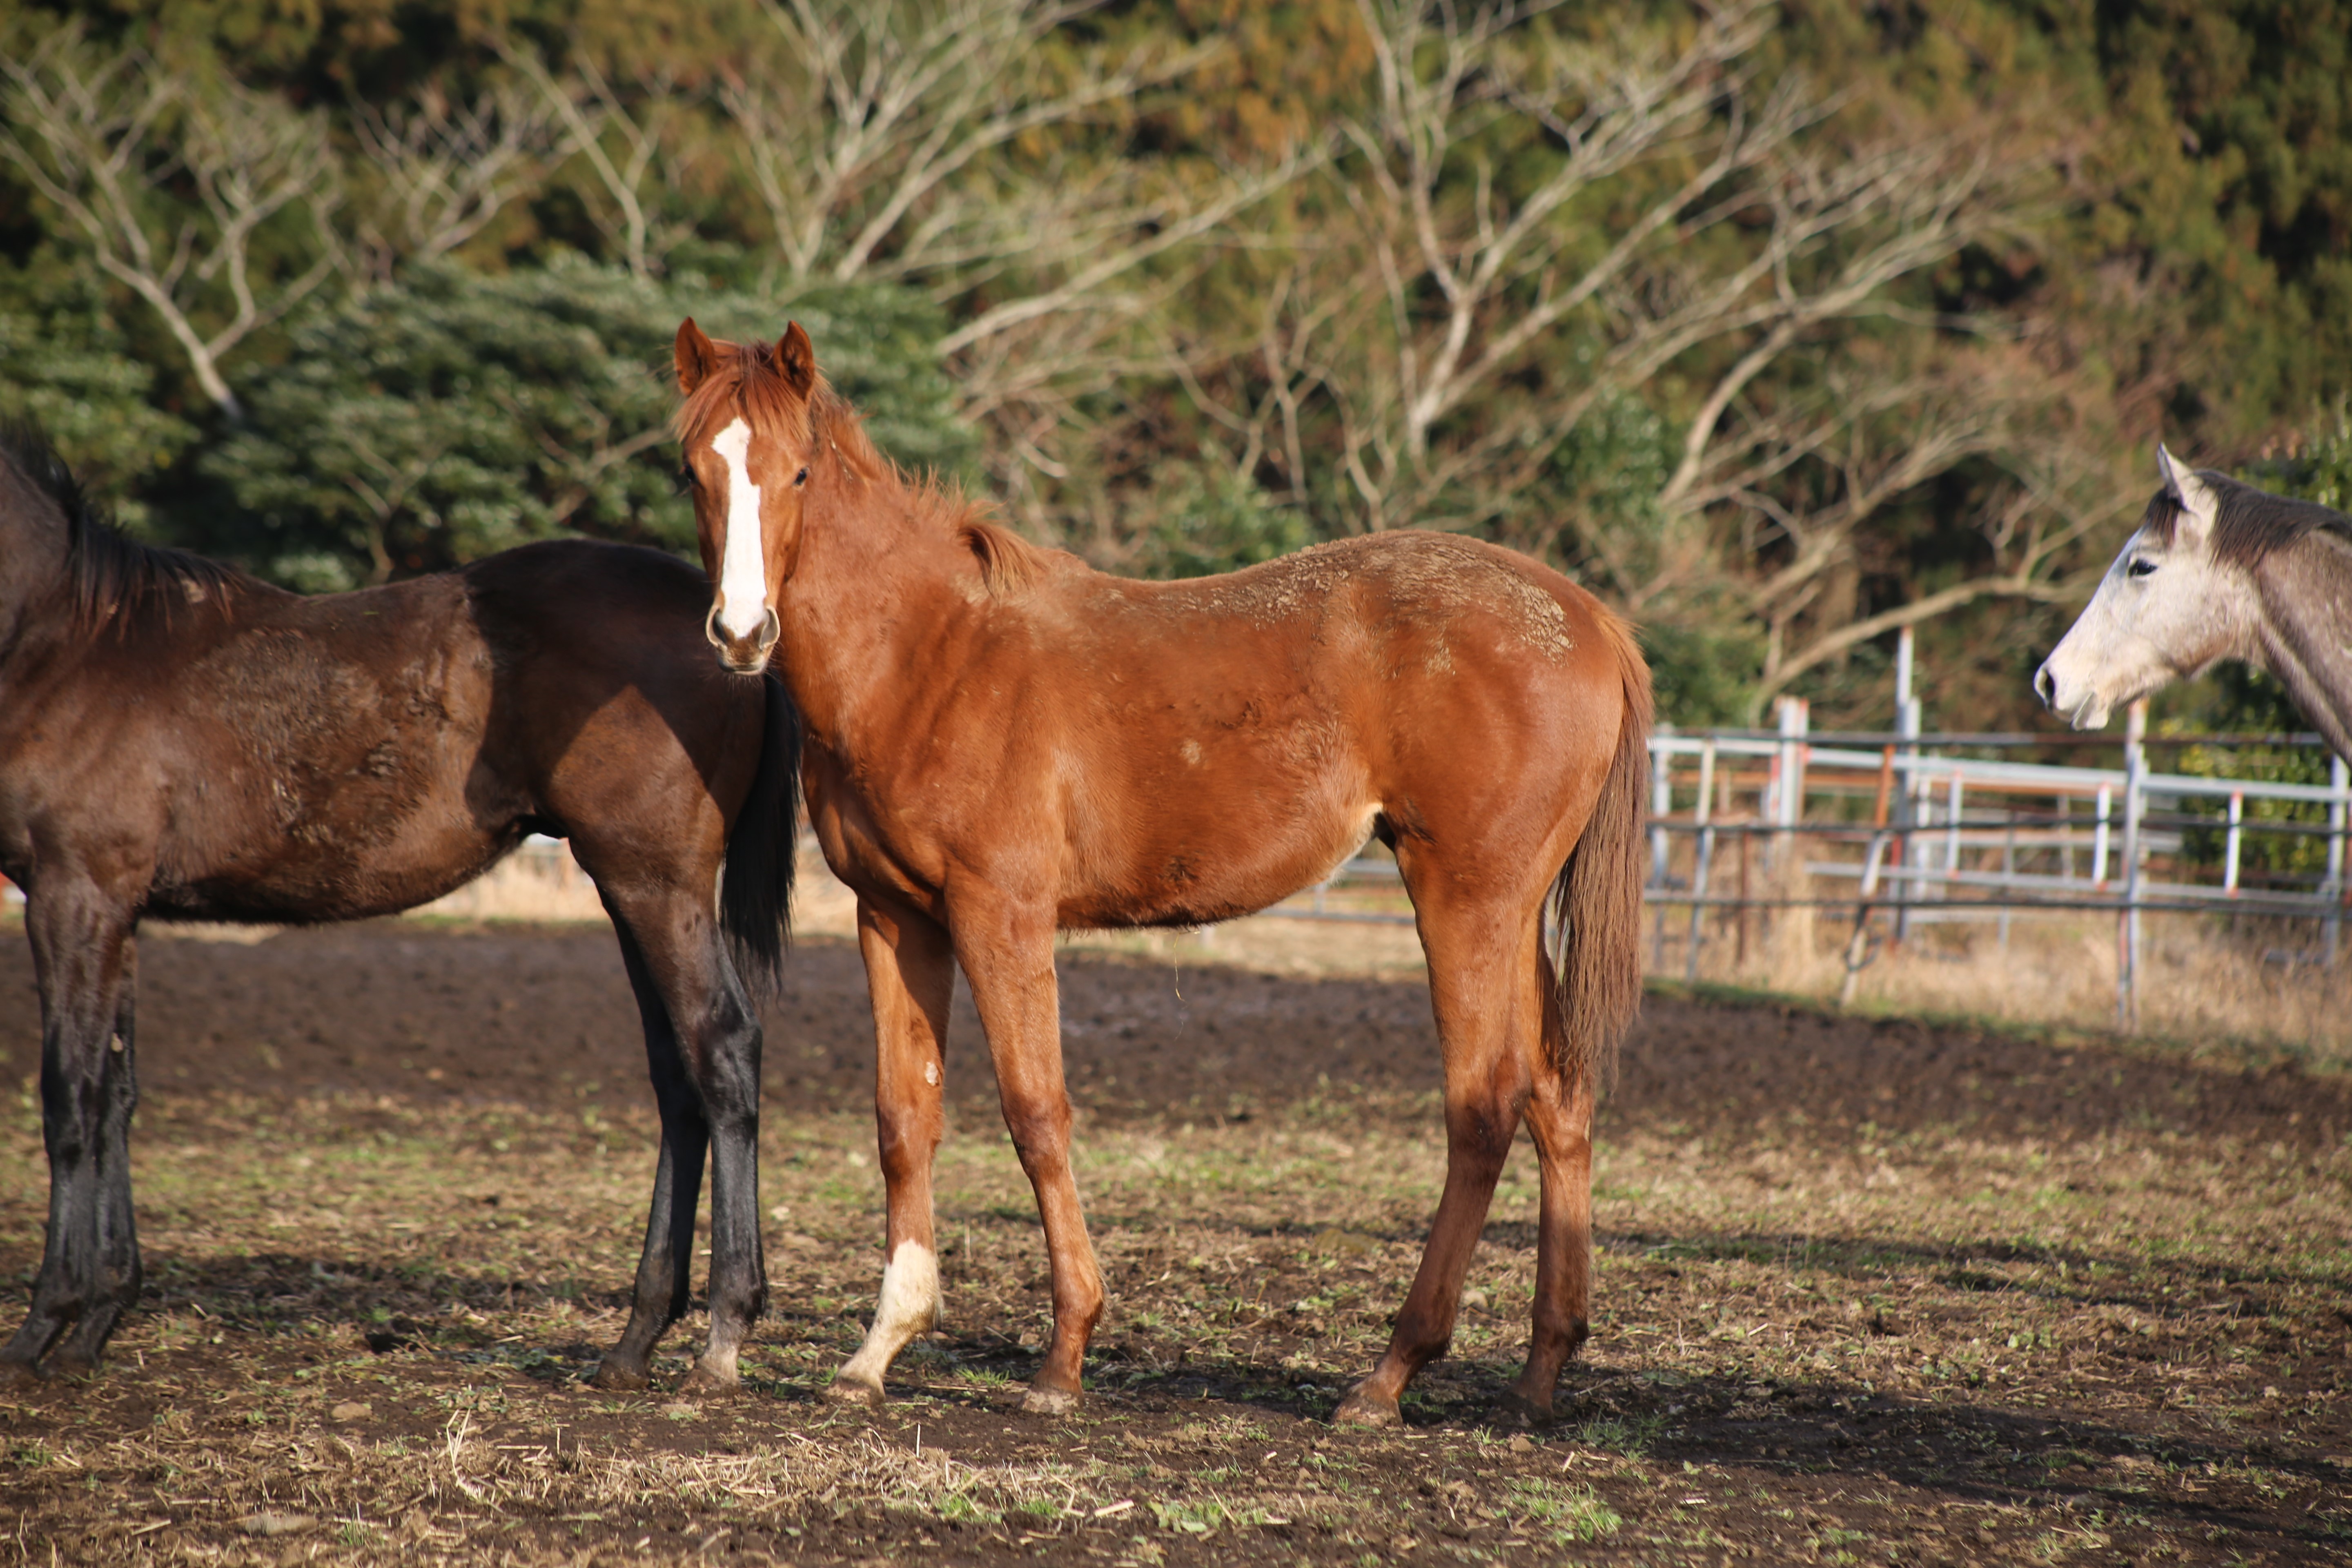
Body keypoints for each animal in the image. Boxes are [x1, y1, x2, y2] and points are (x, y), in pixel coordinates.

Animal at [0, 423, 800, 1392]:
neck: (64, 639)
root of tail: (737, 634)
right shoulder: (118, 910)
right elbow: (115, 1094)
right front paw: (98, 1320)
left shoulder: (71, 895)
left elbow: (68, 1100)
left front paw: (45, 1326)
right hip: (631, 889)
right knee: (678, 1078)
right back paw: (636, 1338)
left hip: (656, 883)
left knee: (722, 1048)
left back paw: (725, 1327)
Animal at [668, 324, 1656, 1429]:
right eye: (694, 469)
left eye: (797, 471)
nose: (740, 634)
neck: (930, 656)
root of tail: (1586, 618)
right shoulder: (894, 919)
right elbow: (904, 1119)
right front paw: (878, 1349)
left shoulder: (1000, 916)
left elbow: (1035, 1113)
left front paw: (1062, 1359)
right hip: (1513, 912)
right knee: (1557, 1097)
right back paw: (1538, 1374)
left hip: (1466, 903)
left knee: (1483, 1108)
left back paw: (1389, 1374)